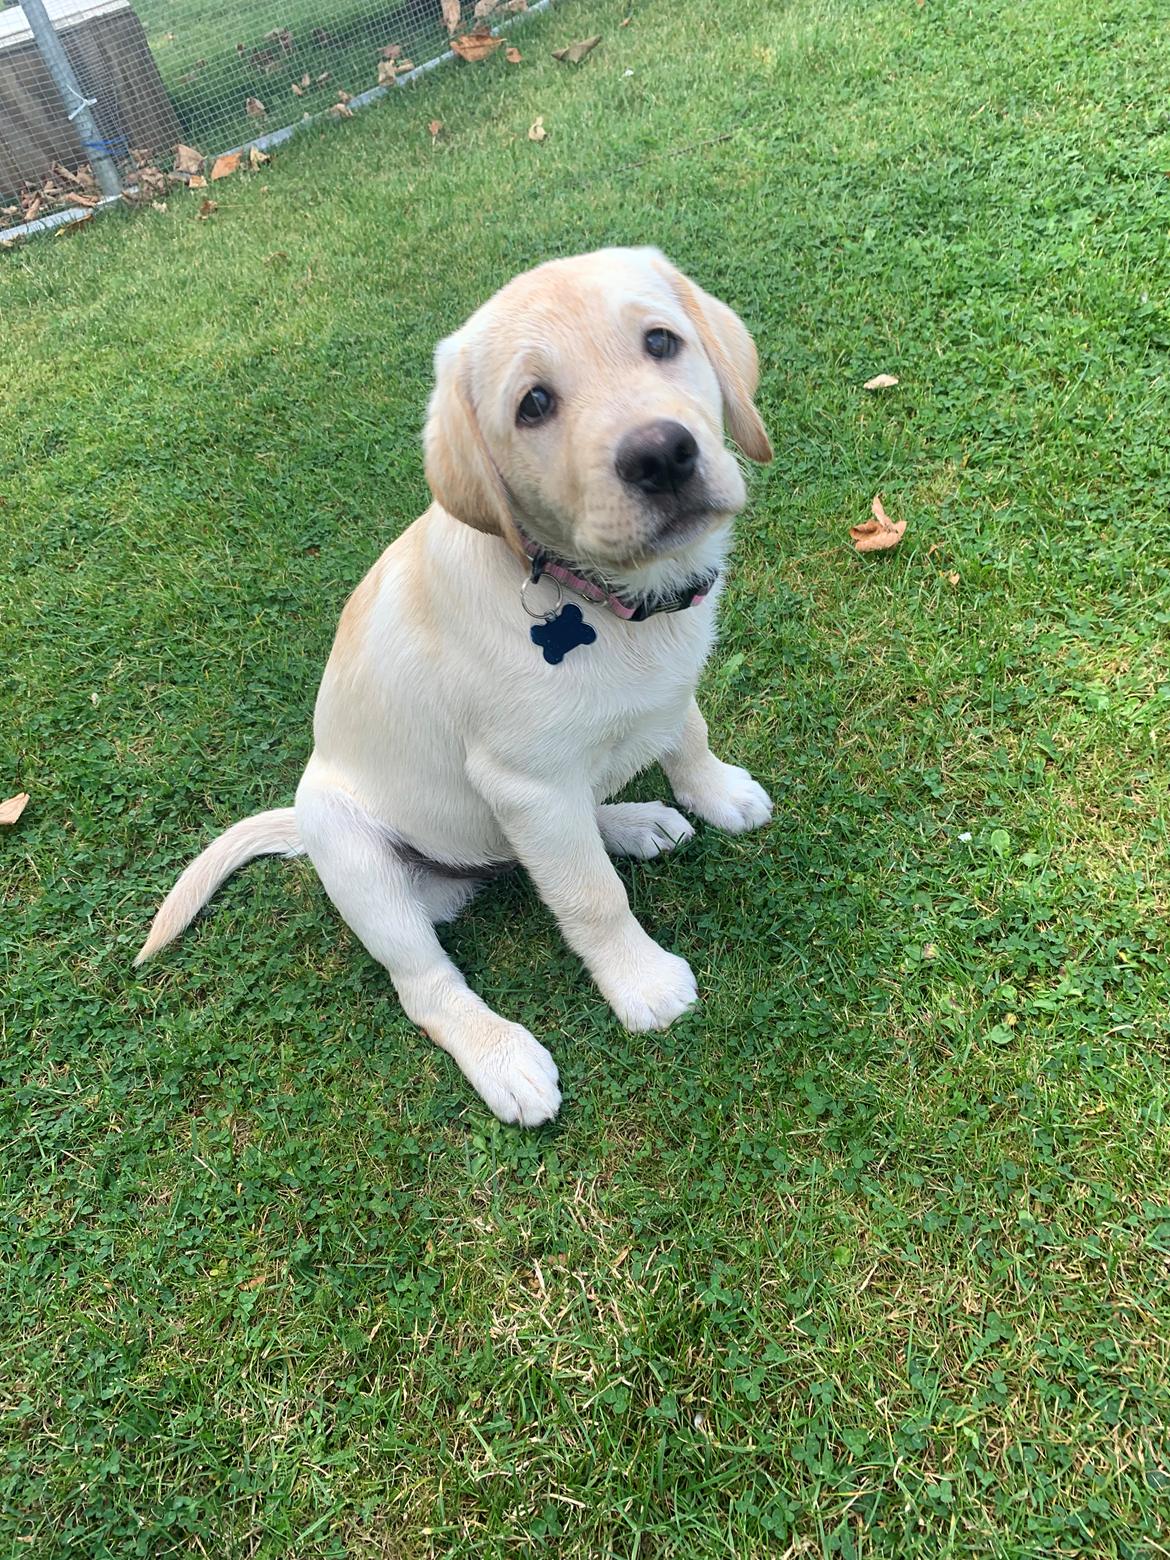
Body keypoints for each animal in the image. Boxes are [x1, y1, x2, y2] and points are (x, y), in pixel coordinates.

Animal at [137, 246, 773, 1123]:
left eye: (661, 342)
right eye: (534, 404)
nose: (659, 454)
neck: (602, 598)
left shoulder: (661, 691)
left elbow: (688, 734)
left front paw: (716, 794)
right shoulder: (526, 781)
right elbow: (591, 897)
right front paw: (642, 984)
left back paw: (633, 821)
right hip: (357, 855)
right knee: (429, 983)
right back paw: (500, 1055)